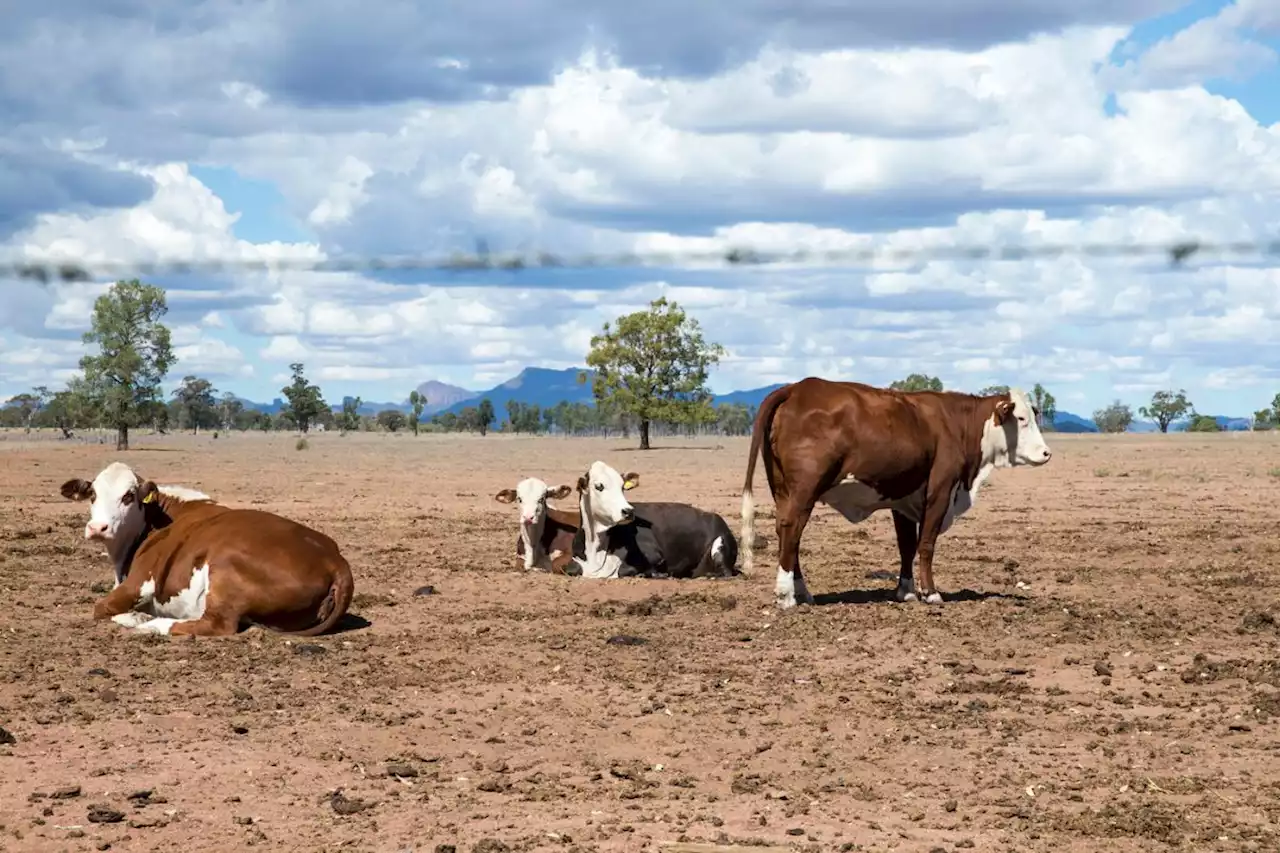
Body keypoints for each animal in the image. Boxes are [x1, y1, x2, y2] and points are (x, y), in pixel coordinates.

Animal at [60, 461, 355, 635]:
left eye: (128, 496)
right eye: (93, 495)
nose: (98, 528)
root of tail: (335, 561)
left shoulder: (138, 583)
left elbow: (101, 608)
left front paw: (136, 617)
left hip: (224, 567)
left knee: (217, 624)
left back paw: (153, 624)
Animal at [742, 376, 1049, 604]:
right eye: (1022, 419)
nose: (1047, 453)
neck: (956, 424)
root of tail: (796, 388)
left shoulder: (904, 500)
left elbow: (907, 546)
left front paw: (907, 591)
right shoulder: (939, 491)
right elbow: (926, 544)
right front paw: (931, 593)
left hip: (782, 489)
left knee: (785, 533)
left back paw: (802, 591)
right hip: (804, 489)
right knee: (792, 528)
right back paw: (786, 595)